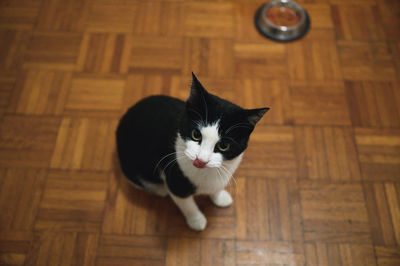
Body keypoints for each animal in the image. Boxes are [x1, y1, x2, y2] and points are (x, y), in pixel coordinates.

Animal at [117, 73, 270, 231]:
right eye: (196, 134)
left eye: (223, 145)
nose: (201, 159)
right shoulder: (175, 179)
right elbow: (187, 204)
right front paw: (196, 220)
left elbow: (217, 186)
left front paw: (219, 197)